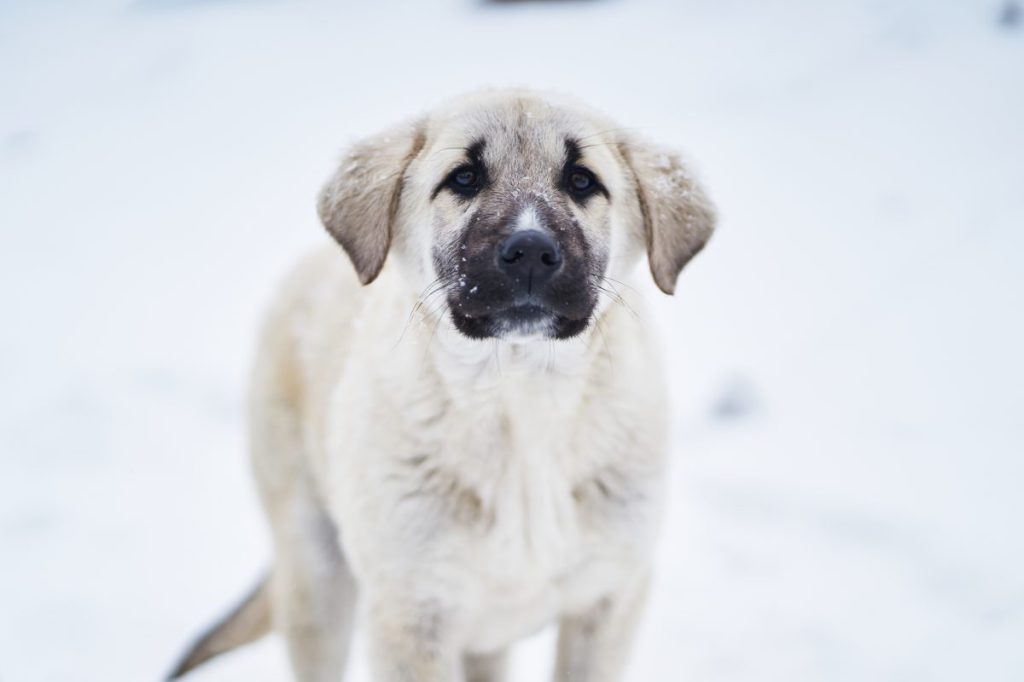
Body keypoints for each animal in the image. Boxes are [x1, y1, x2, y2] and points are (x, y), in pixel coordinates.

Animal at [169, 90, 712, 679]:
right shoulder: (410, 615)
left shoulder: (610, 598)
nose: (530, 251)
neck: (520, 402)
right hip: (316, 577)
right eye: (465, 178)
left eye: (582, 180)